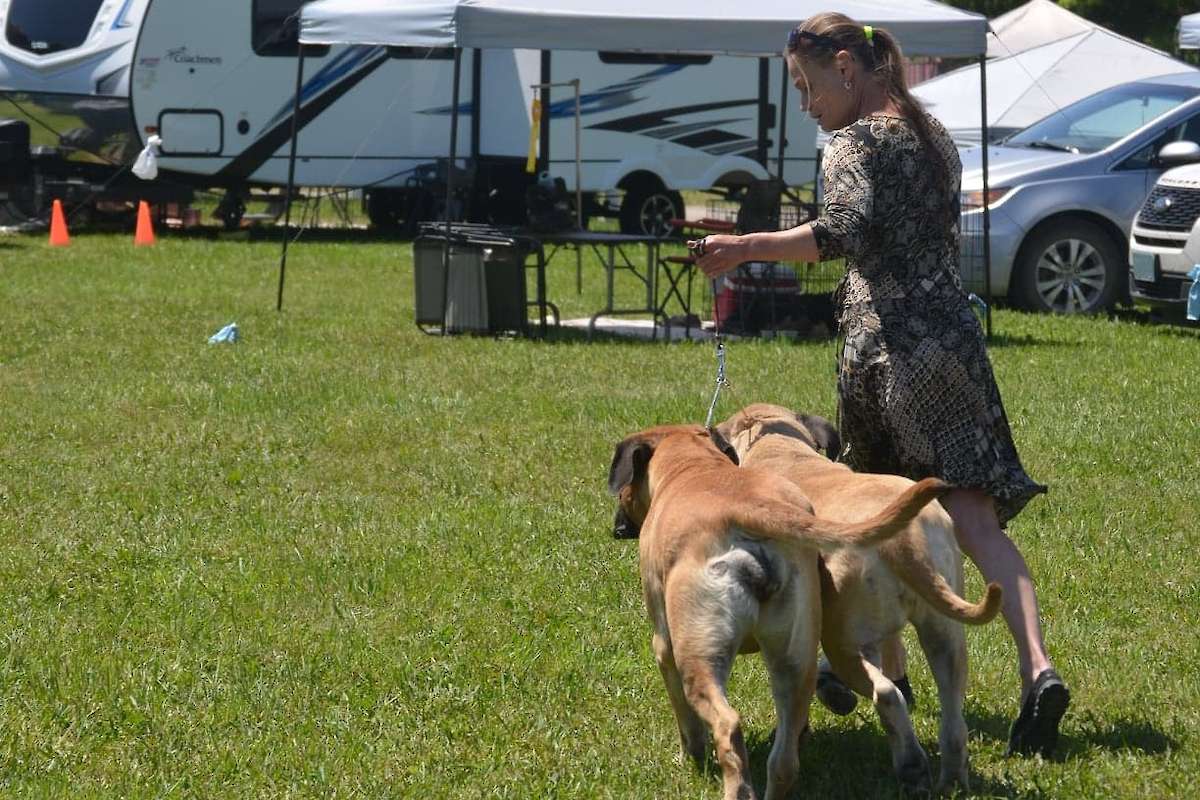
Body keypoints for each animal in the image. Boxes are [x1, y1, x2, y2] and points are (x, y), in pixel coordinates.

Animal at [604, 429, 950, 800]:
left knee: (728, 727)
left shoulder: (664, 649)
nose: (617, 528)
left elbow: (688, 724)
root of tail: (749, 510)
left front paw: (690, 758)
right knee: (787, 759)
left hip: (698, 658)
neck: (693, 464)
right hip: (796, 664)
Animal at [720, 407, 1003, 796]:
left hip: (845, 642)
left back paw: (911, 766)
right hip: (944, 636)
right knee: (952, 720)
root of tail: (905, 540)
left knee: (887, 695)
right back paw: (950, 779)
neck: (779, 448)